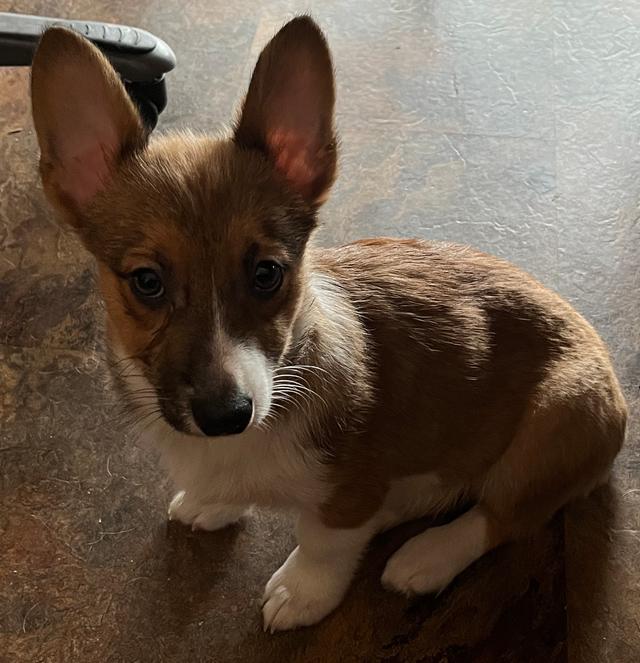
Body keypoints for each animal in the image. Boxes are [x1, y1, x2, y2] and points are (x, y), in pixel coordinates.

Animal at [30, 14, 624, 628]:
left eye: (267, 273)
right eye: (147, 281)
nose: (227, 416)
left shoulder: (347, 491)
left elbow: (324, 537)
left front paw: (303, 591)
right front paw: (214, 501)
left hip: (556, 420)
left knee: (503, 515)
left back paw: (428, 555)